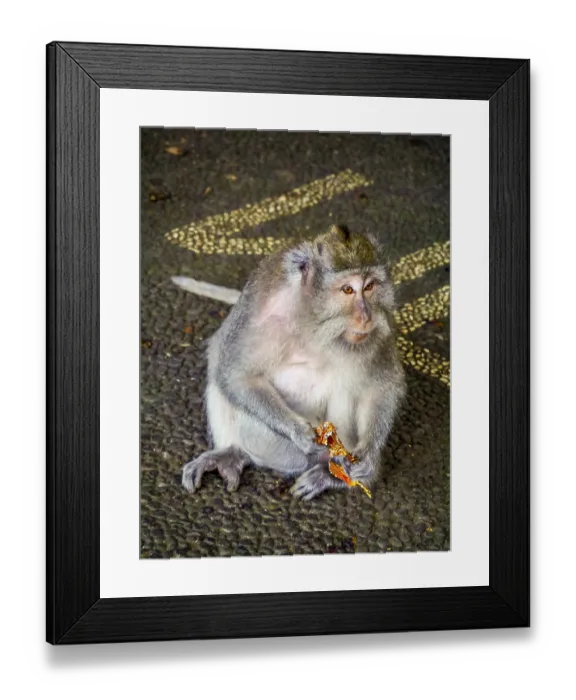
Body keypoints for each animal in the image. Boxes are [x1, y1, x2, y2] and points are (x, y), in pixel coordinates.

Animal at [174, 224, 406, 501]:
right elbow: (236, 375)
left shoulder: (382, 327)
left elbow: (380, 388)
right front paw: (298, 431)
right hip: (279, 448)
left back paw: (333, 476)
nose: (365, 317)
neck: (312, 322)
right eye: (348, 290)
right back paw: (232, 452)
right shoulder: (263, 317)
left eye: (370, 286)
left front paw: (368, 455)